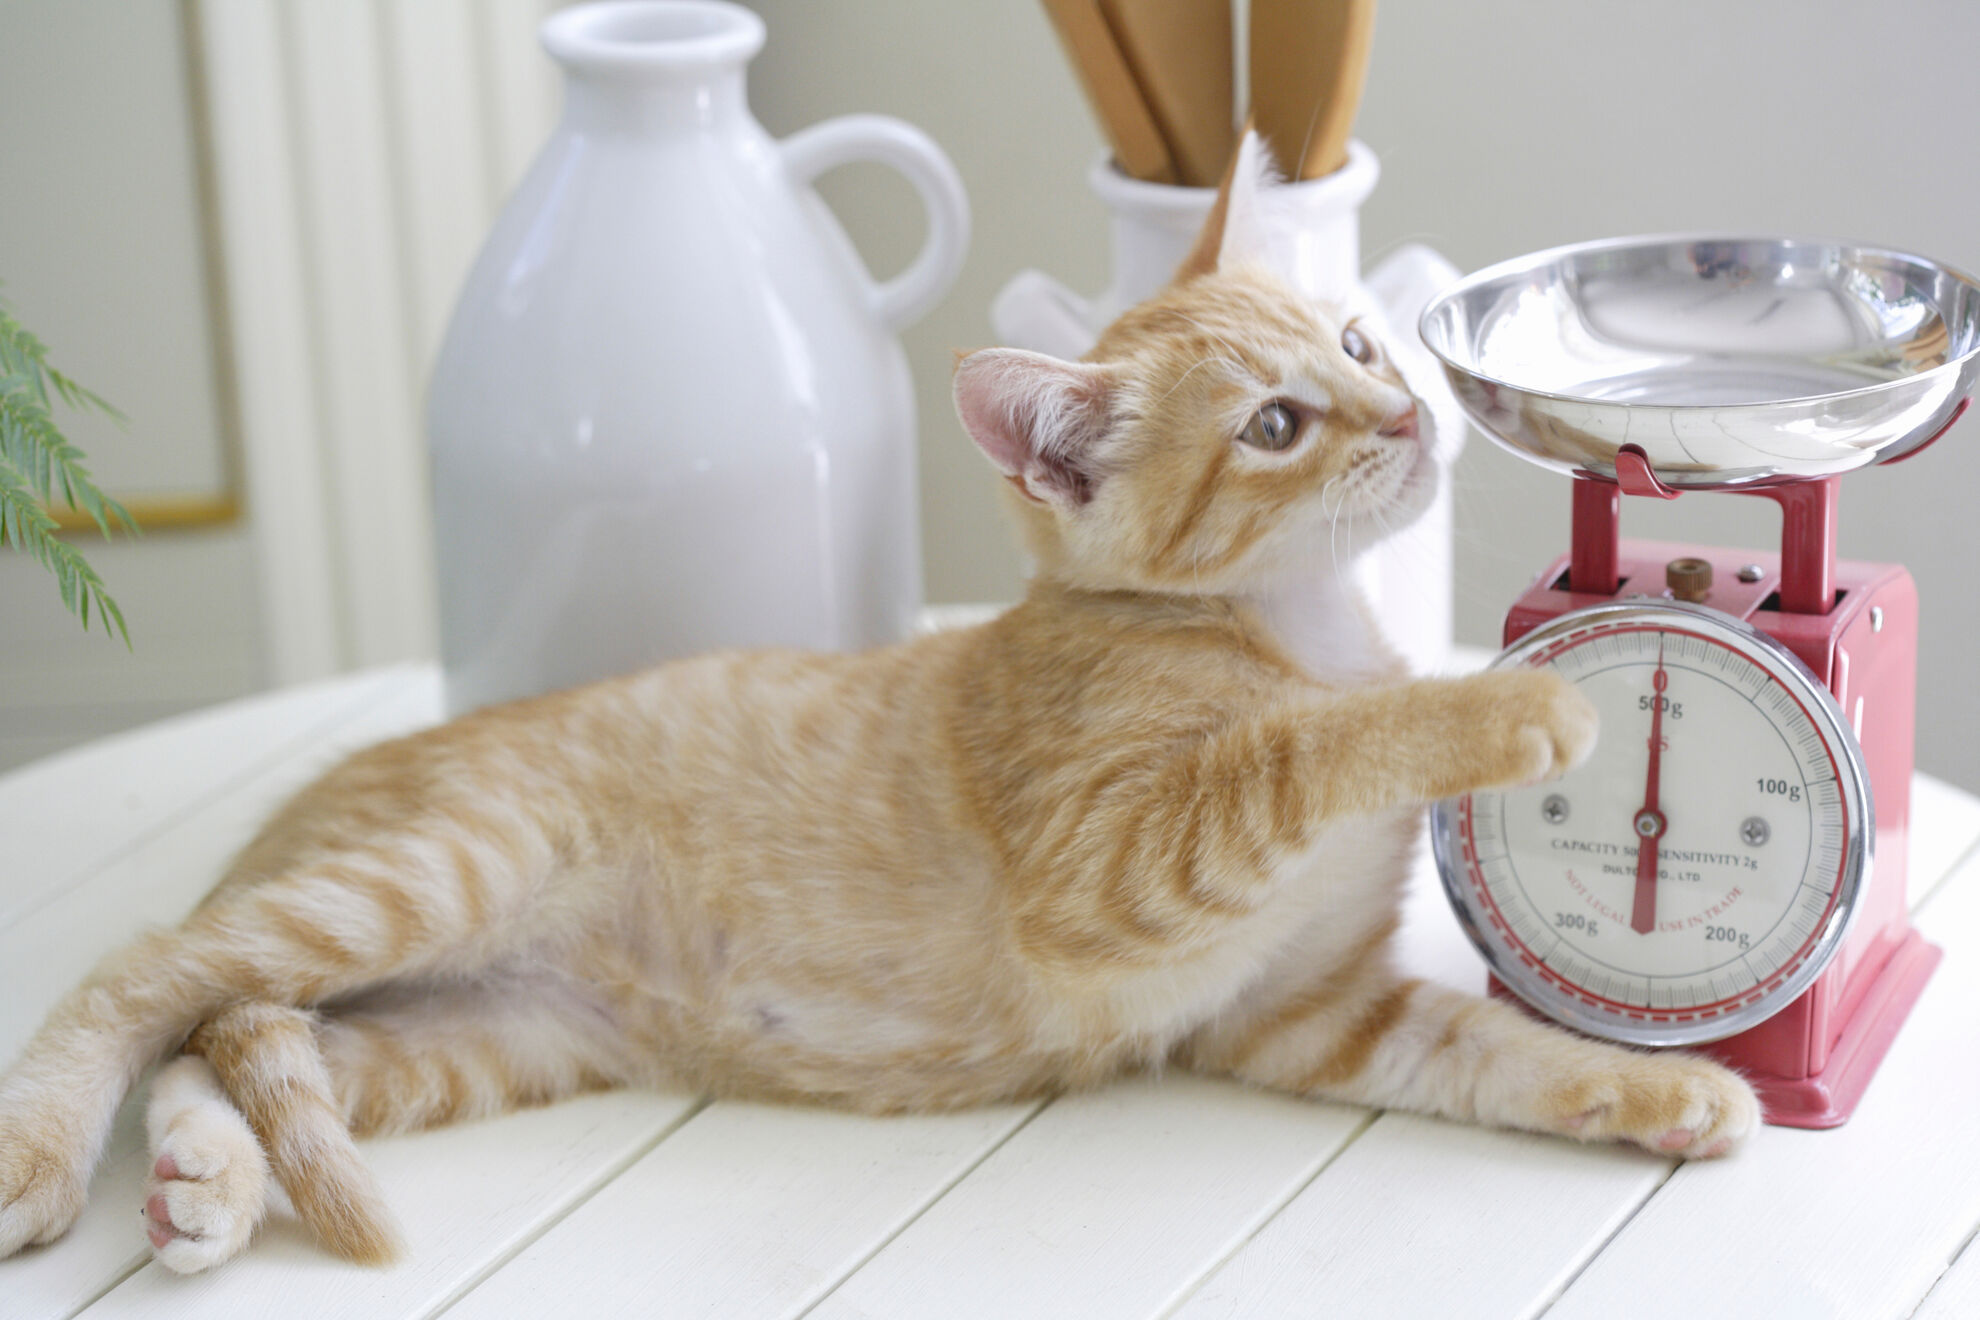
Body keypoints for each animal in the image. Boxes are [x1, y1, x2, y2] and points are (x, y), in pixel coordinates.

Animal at [0, 131, 1758, 1266]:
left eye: (1361, 336)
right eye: (1274, 423)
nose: (1405, 414)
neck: (1297, 629)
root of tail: (310, 796)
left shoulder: (1304, 1015)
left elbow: (1487, 1050)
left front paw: (1666, 1089)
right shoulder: (1117, 869)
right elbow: (1297, 753)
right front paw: (1506, 715)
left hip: (481, 1035)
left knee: (236, 1042)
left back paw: (203, 1180)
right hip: (438, 872)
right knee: (148, 973)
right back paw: (47, 1151)